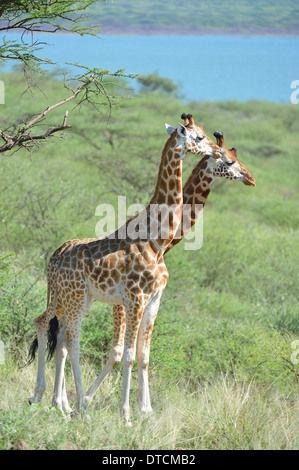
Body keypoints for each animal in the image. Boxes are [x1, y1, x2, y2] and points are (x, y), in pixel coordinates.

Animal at [28, 114, 226, 422]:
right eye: (198, 137)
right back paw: (78, 406)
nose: (218, 153)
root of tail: (54, 257)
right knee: (70, 342)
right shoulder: (135, 299)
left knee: (50, 331)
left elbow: (143, 356)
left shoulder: (153, 300)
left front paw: (144, 412)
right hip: (74, 298)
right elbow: (129, 355)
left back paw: (53, 401)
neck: (156, 240)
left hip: (71, 298)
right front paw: (126, 415)